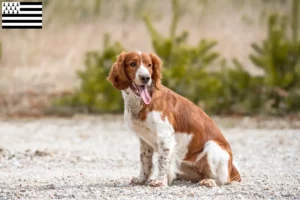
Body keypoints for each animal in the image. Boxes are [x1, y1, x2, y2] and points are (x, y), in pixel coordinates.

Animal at [106, 51, 240, 188]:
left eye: (149, 65)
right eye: (133, 64)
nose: (146, 78)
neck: (140, 102)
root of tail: (233, 170)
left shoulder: (165, 137)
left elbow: (162, 162)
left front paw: (160, 181)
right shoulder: (144, 140)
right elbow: (145, 161)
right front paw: (141, 179)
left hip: (212, 146)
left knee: (222, 179)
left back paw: (210, 181)